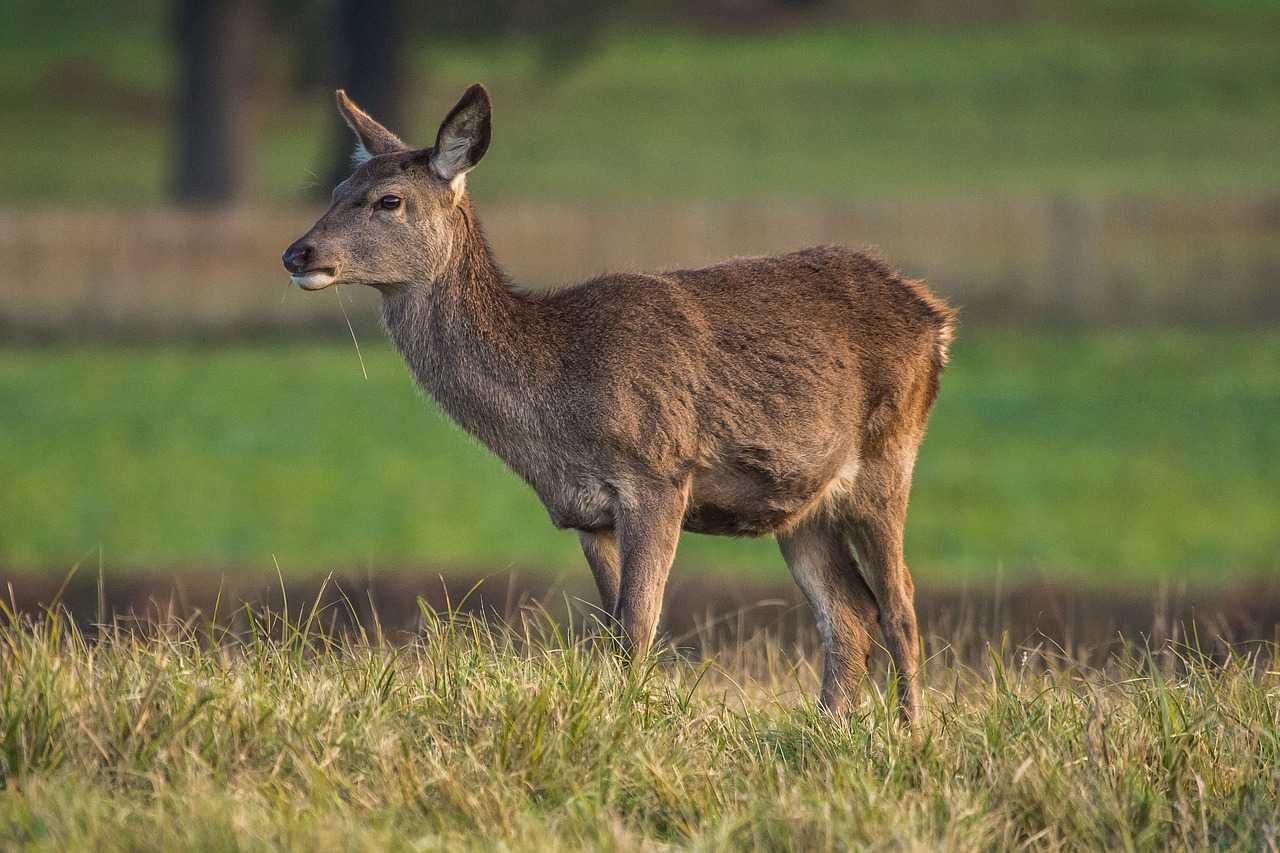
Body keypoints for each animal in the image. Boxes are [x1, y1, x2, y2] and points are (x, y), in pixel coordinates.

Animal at [285, 84, 957, 717]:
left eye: (389, 200)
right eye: (338, 188)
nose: (297, 253)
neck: (556, 394)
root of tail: (935, 317)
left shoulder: (659, 476)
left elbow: (637, 629)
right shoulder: (588, 513)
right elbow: (612, 632)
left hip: (890, 452)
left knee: (900, 606)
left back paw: (908, 732)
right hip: (801, 503)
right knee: (849, 613)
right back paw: (827, 728)